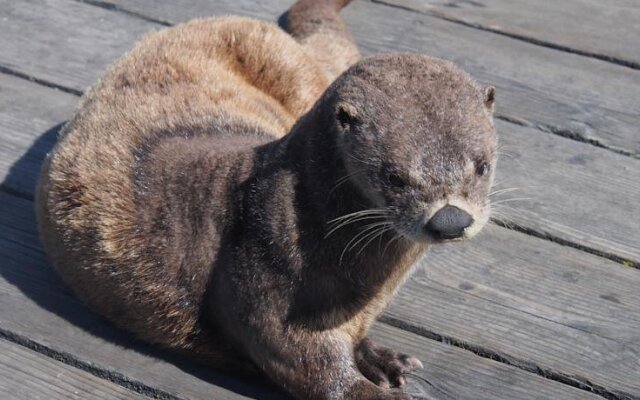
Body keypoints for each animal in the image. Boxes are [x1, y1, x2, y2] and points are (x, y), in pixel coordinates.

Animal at [35, 0, 497, 399]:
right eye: (394, 176)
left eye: (482, 165)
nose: (451, 219)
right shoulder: (265, 277)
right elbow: (308, 364)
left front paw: (381, 357)